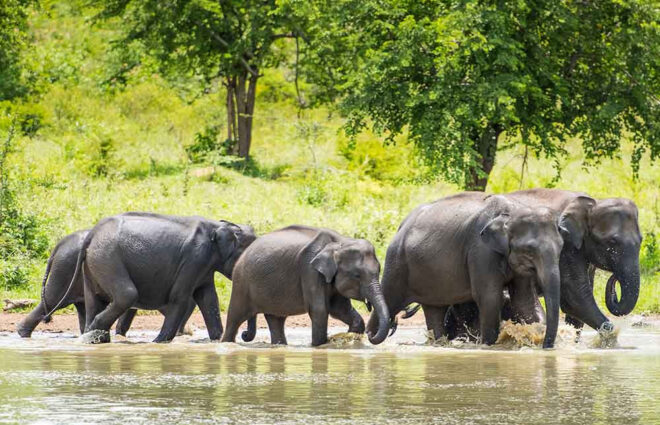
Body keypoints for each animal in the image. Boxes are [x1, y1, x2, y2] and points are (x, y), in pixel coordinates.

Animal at [15, 227, 195, 336]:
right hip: (64, 269)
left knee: (79, 307)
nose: (188, 332)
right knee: (53, 300)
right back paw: (22, 334)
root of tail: (59, 246)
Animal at [76, 212, 253, 342]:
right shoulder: (194, 259)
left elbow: (208, 299)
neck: (219, 225)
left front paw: (217, 340)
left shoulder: (204, 268)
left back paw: (92, 337)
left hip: (94, 263)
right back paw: (94, 331)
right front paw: (158, 342)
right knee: (127, 295)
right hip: (106, 258)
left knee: (94, 301)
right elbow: (179, 298)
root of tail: (92, 234)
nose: (244, 335)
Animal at [220, 224, 392, 346]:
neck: (341, 242)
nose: (370, 335)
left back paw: (279, 345)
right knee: (235, 318)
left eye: (379, 271)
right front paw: (318, 346)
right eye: (357, 275)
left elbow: (340, 309)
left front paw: (352, 334)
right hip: (241, 282)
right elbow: (320, 310)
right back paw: (227, 343)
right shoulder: (309, 270)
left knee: (276, 320)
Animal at [364, 192, 564, 348]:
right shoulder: (481, 251)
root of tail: (402, 225)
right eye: (529, 250)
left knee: (434, 310)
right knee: (391, 299)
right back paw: (370, 335)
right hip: (397, 262)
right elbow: (490, 298)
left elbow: (525, 301)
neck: (512, 211)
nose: (546, 346)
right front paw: (488, 345)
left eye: (562, 247)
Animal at [438, 189, 640, 338]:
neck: (593, 202)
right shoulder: (567, 248)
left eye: (641, 241)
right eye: (612, 243)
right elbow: (575, 300)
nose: (614, 278)